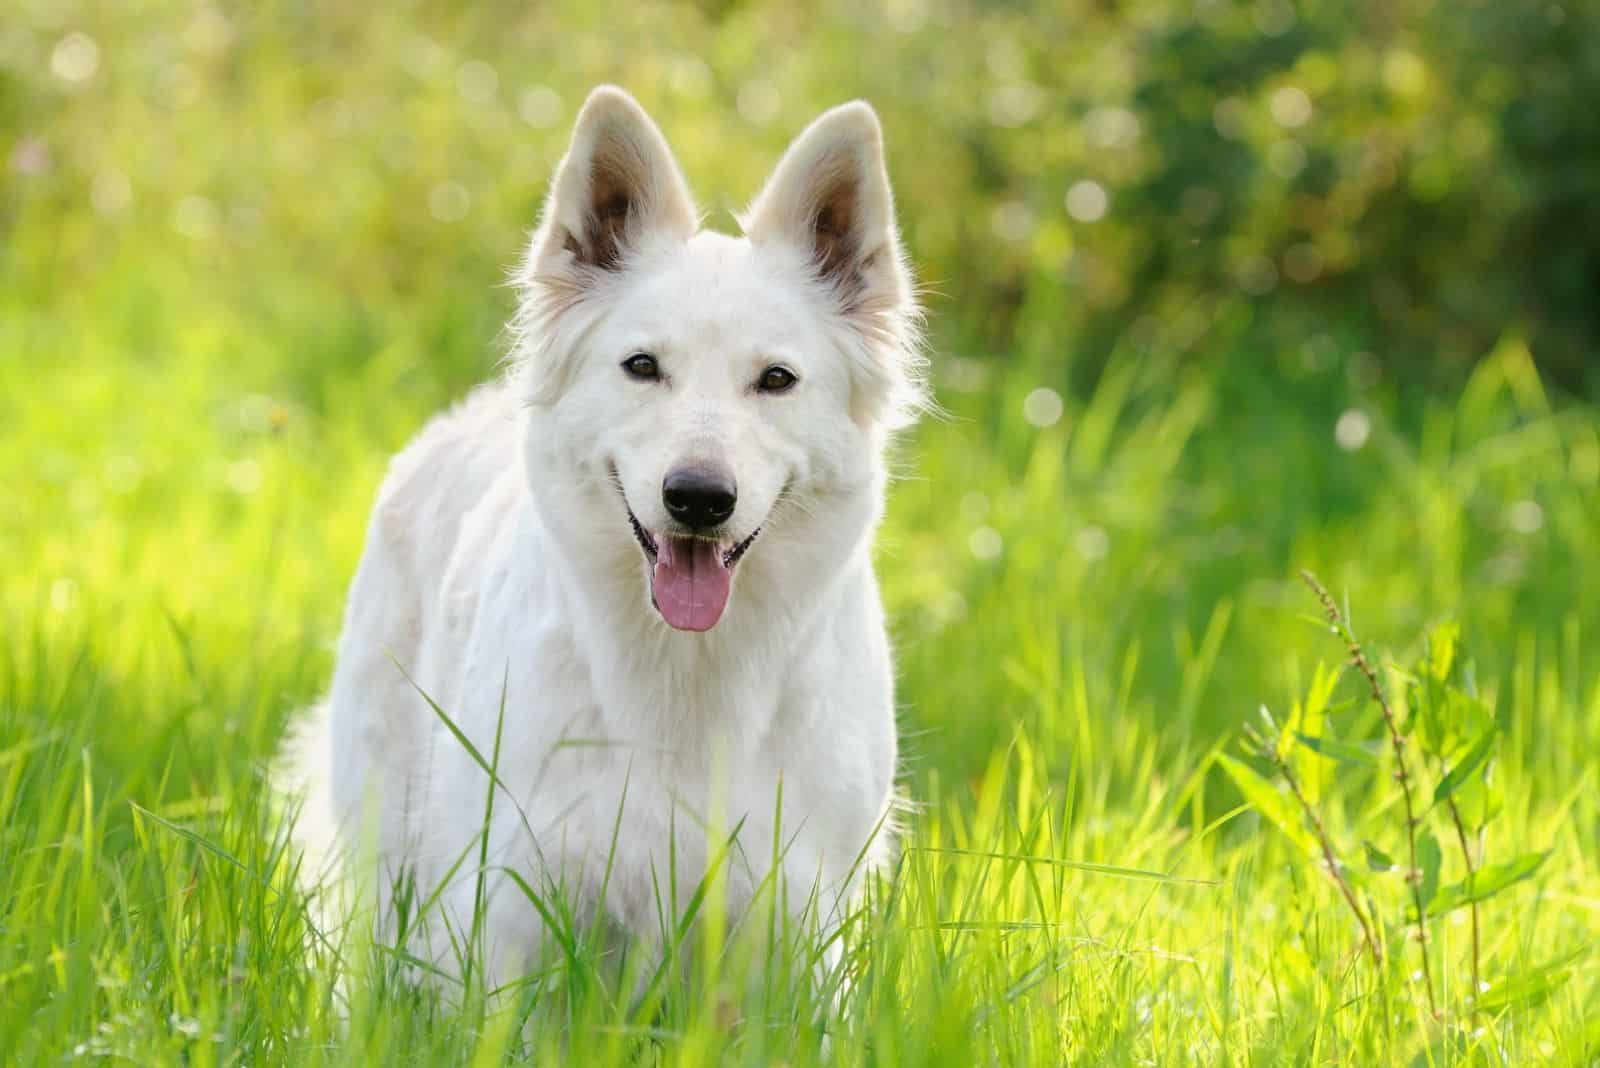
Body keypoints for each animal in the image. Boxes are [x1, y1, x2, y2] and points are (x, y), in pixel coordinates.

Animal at [291, 83, 928, 984]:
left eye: (776, 380)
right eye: (642, 368)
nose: (699, 498)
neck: (690, 677)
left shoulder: (801, 921)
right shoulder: (510, 907)